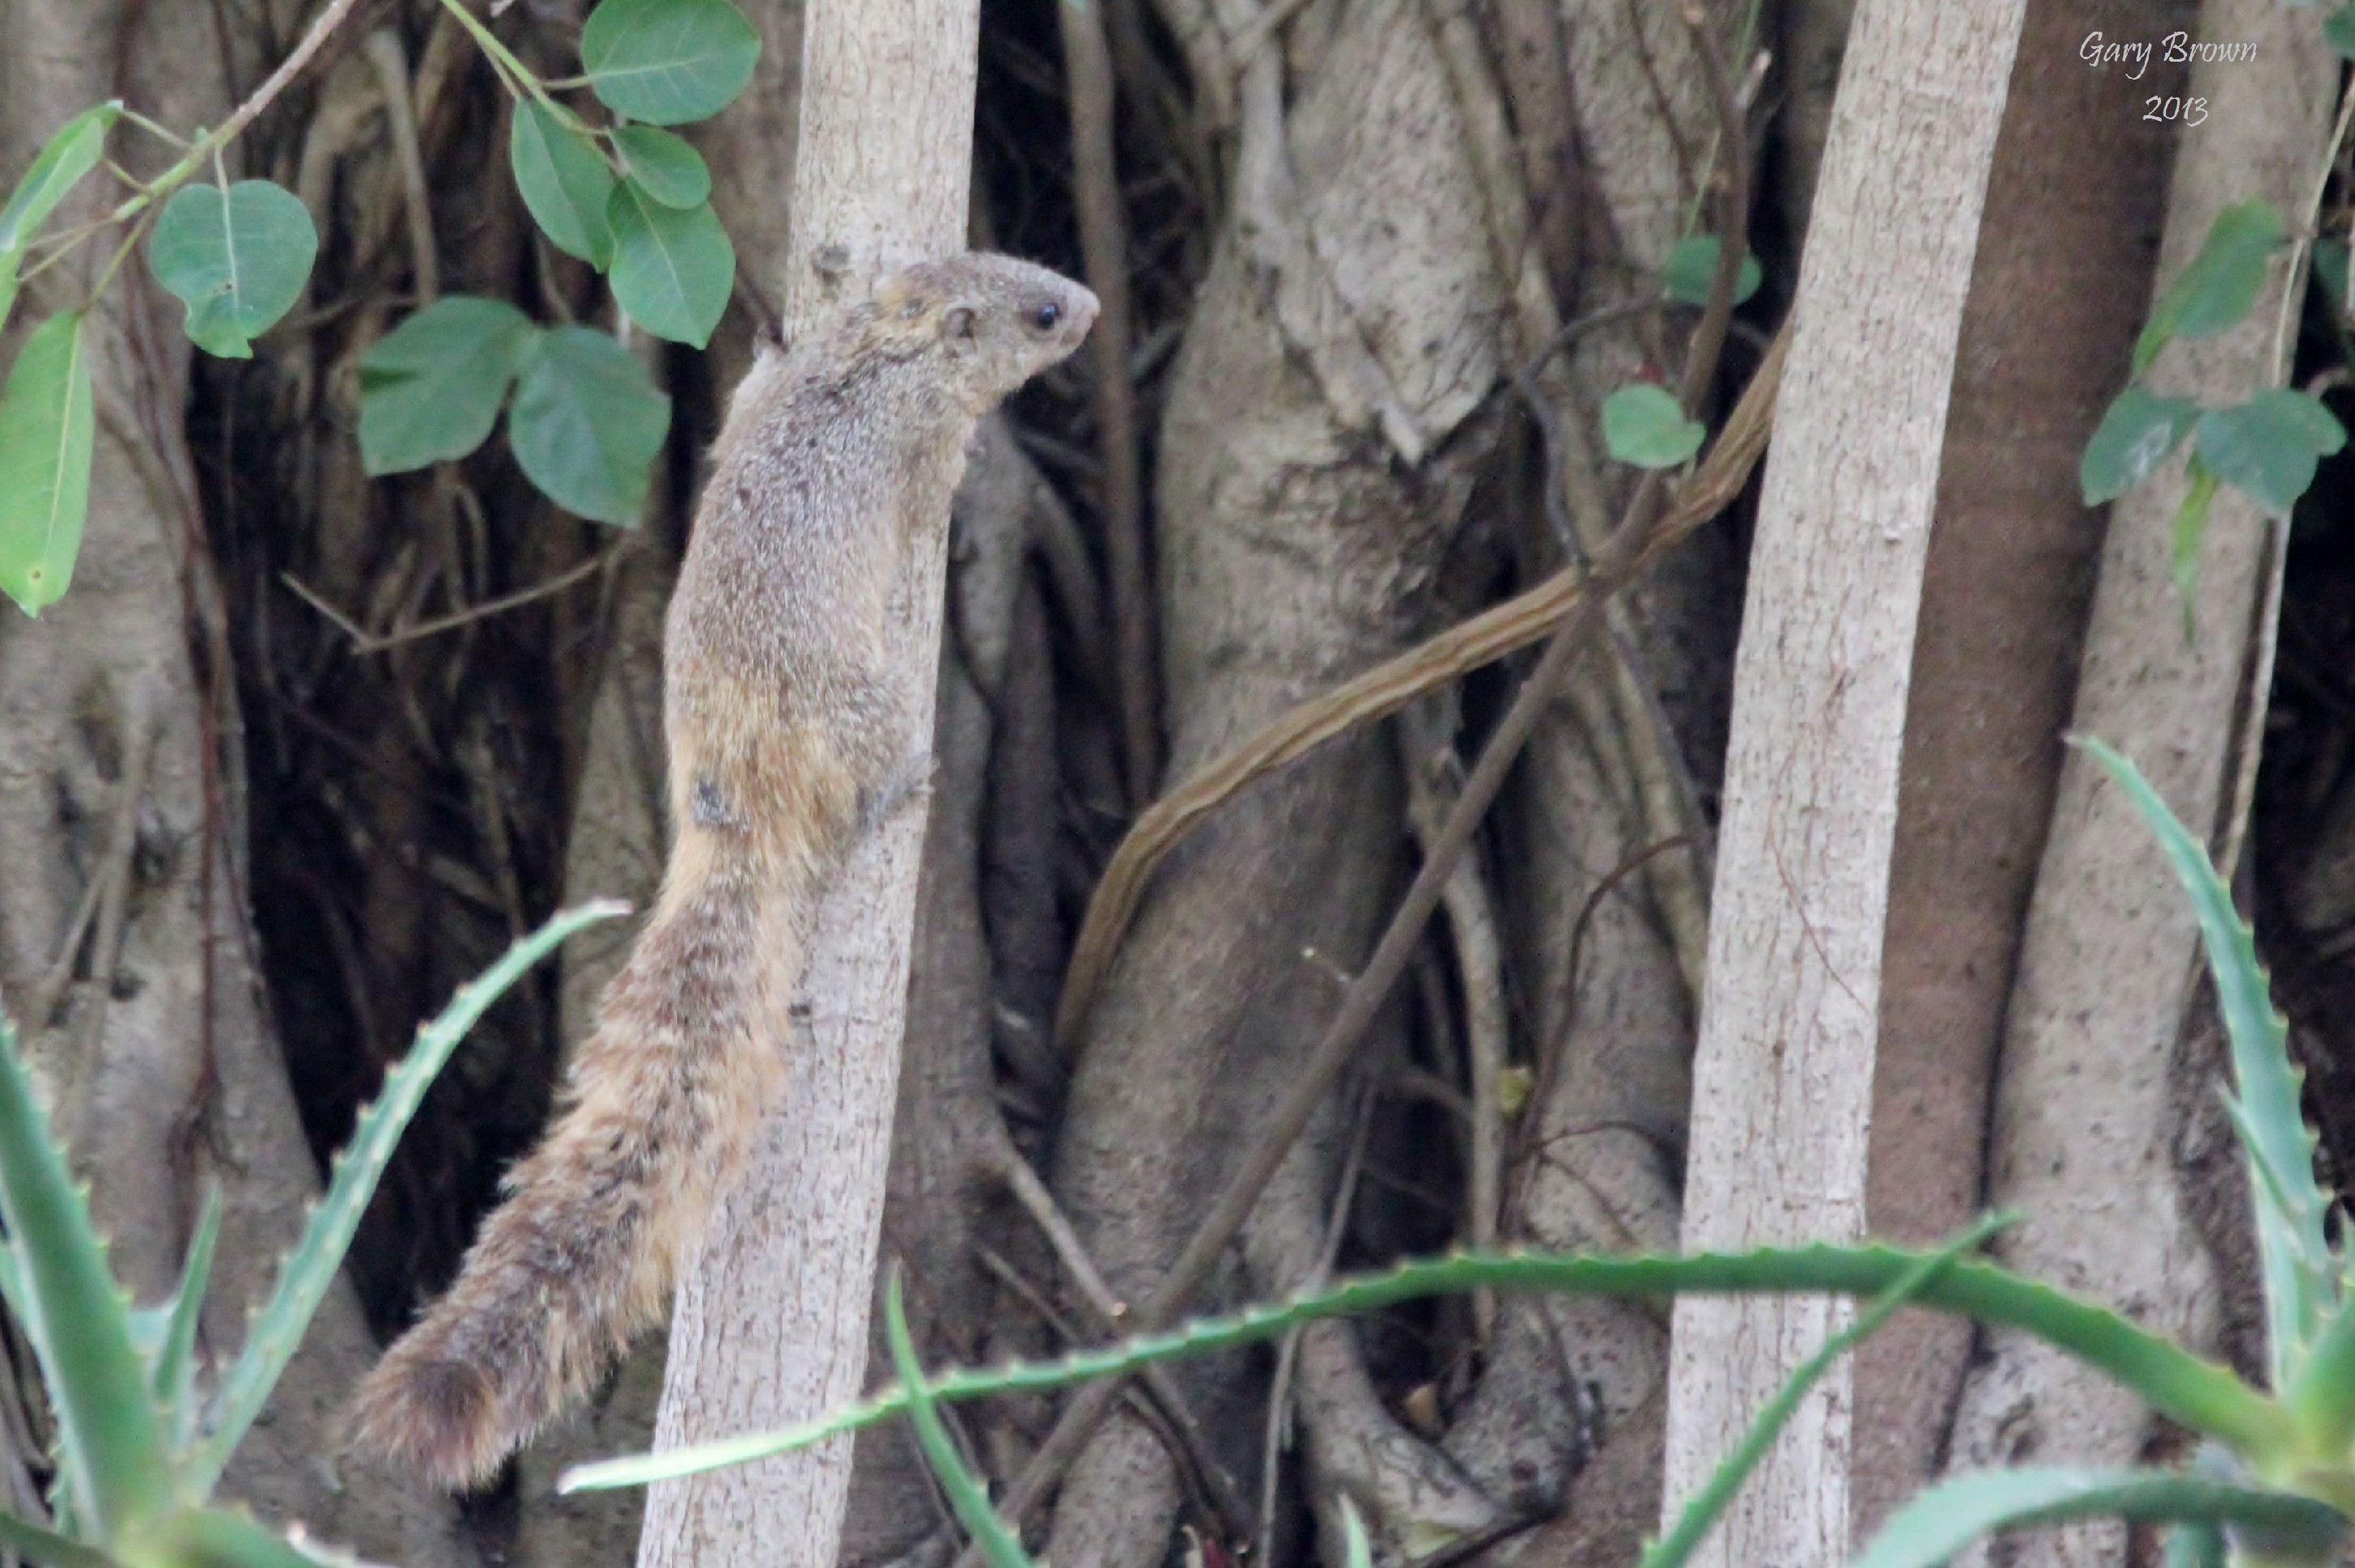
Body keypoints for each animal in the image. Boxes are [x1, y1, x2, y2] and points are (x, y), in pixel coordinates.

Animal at [351, 250, 1102, 1488]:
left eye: (1043, 271)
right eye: (1042, 314)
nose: (1090, 306)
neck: (878, 354)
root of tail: (731, 797)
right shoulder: (924, 447)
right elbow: (932, 494)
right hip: (869, 707)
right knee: (866, 785)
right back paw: (906, 785)